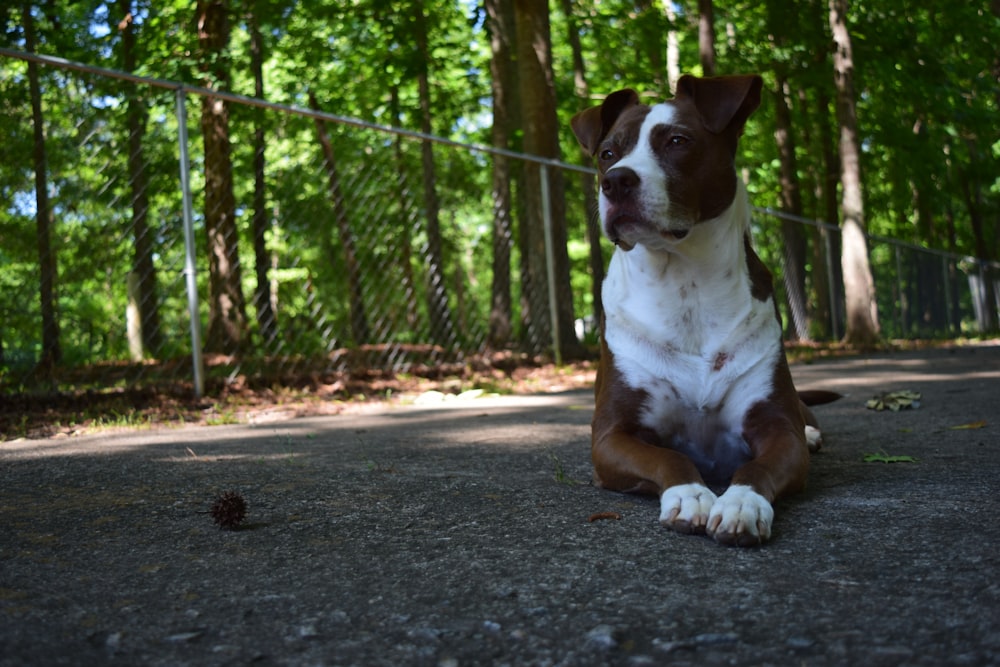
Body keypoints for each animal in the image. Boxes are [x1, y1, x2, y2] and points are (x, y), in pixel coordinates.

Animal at [572, 73, 836, 548]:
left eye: (678, 140)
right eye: (607, 154)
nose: (615, 181)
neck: (684, 285)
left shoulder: (776, 427)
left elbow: (756, 465)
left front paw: (741, 503)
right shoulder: (611, 437)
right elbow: (669, 458)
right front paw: (691, 493)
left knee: (804, 419)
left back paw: (811, 433)